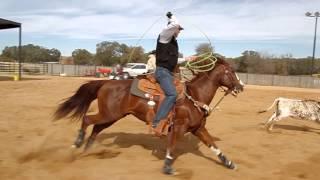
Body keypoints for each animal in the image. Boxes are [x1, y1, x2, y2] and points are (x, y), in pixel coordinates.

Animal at [54, 57, 242, 174]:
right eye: (230, 72)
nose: (241, 86)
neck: (194, 95)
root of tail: (106, 82)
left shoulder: (198, 128)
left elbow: (214, 146)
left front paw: (230, 164)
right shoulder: (179, 127)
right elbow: (172, 147)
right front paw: (167, 167)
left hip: (113, 116)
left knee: (96, 128)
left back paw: (87, 149)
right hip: (109, 114)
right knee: (87, 120)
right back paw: (76, 145)